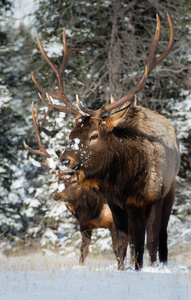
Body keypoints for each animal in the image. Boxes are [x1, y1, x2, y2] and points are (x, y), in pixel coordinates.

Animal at [24, 11, 180, 270]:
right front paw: (124, 270)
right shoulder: (117, 203)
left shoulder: (152, 197)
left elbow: (150, 242)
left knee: (161, 235)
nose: (64, 161)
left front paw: (150, 270)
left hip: (170, 190)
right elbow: (123, 245)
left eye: (94, 135)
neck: (126, 179)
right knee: (136, 240)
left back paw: (162, 264)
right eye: (71, 135)